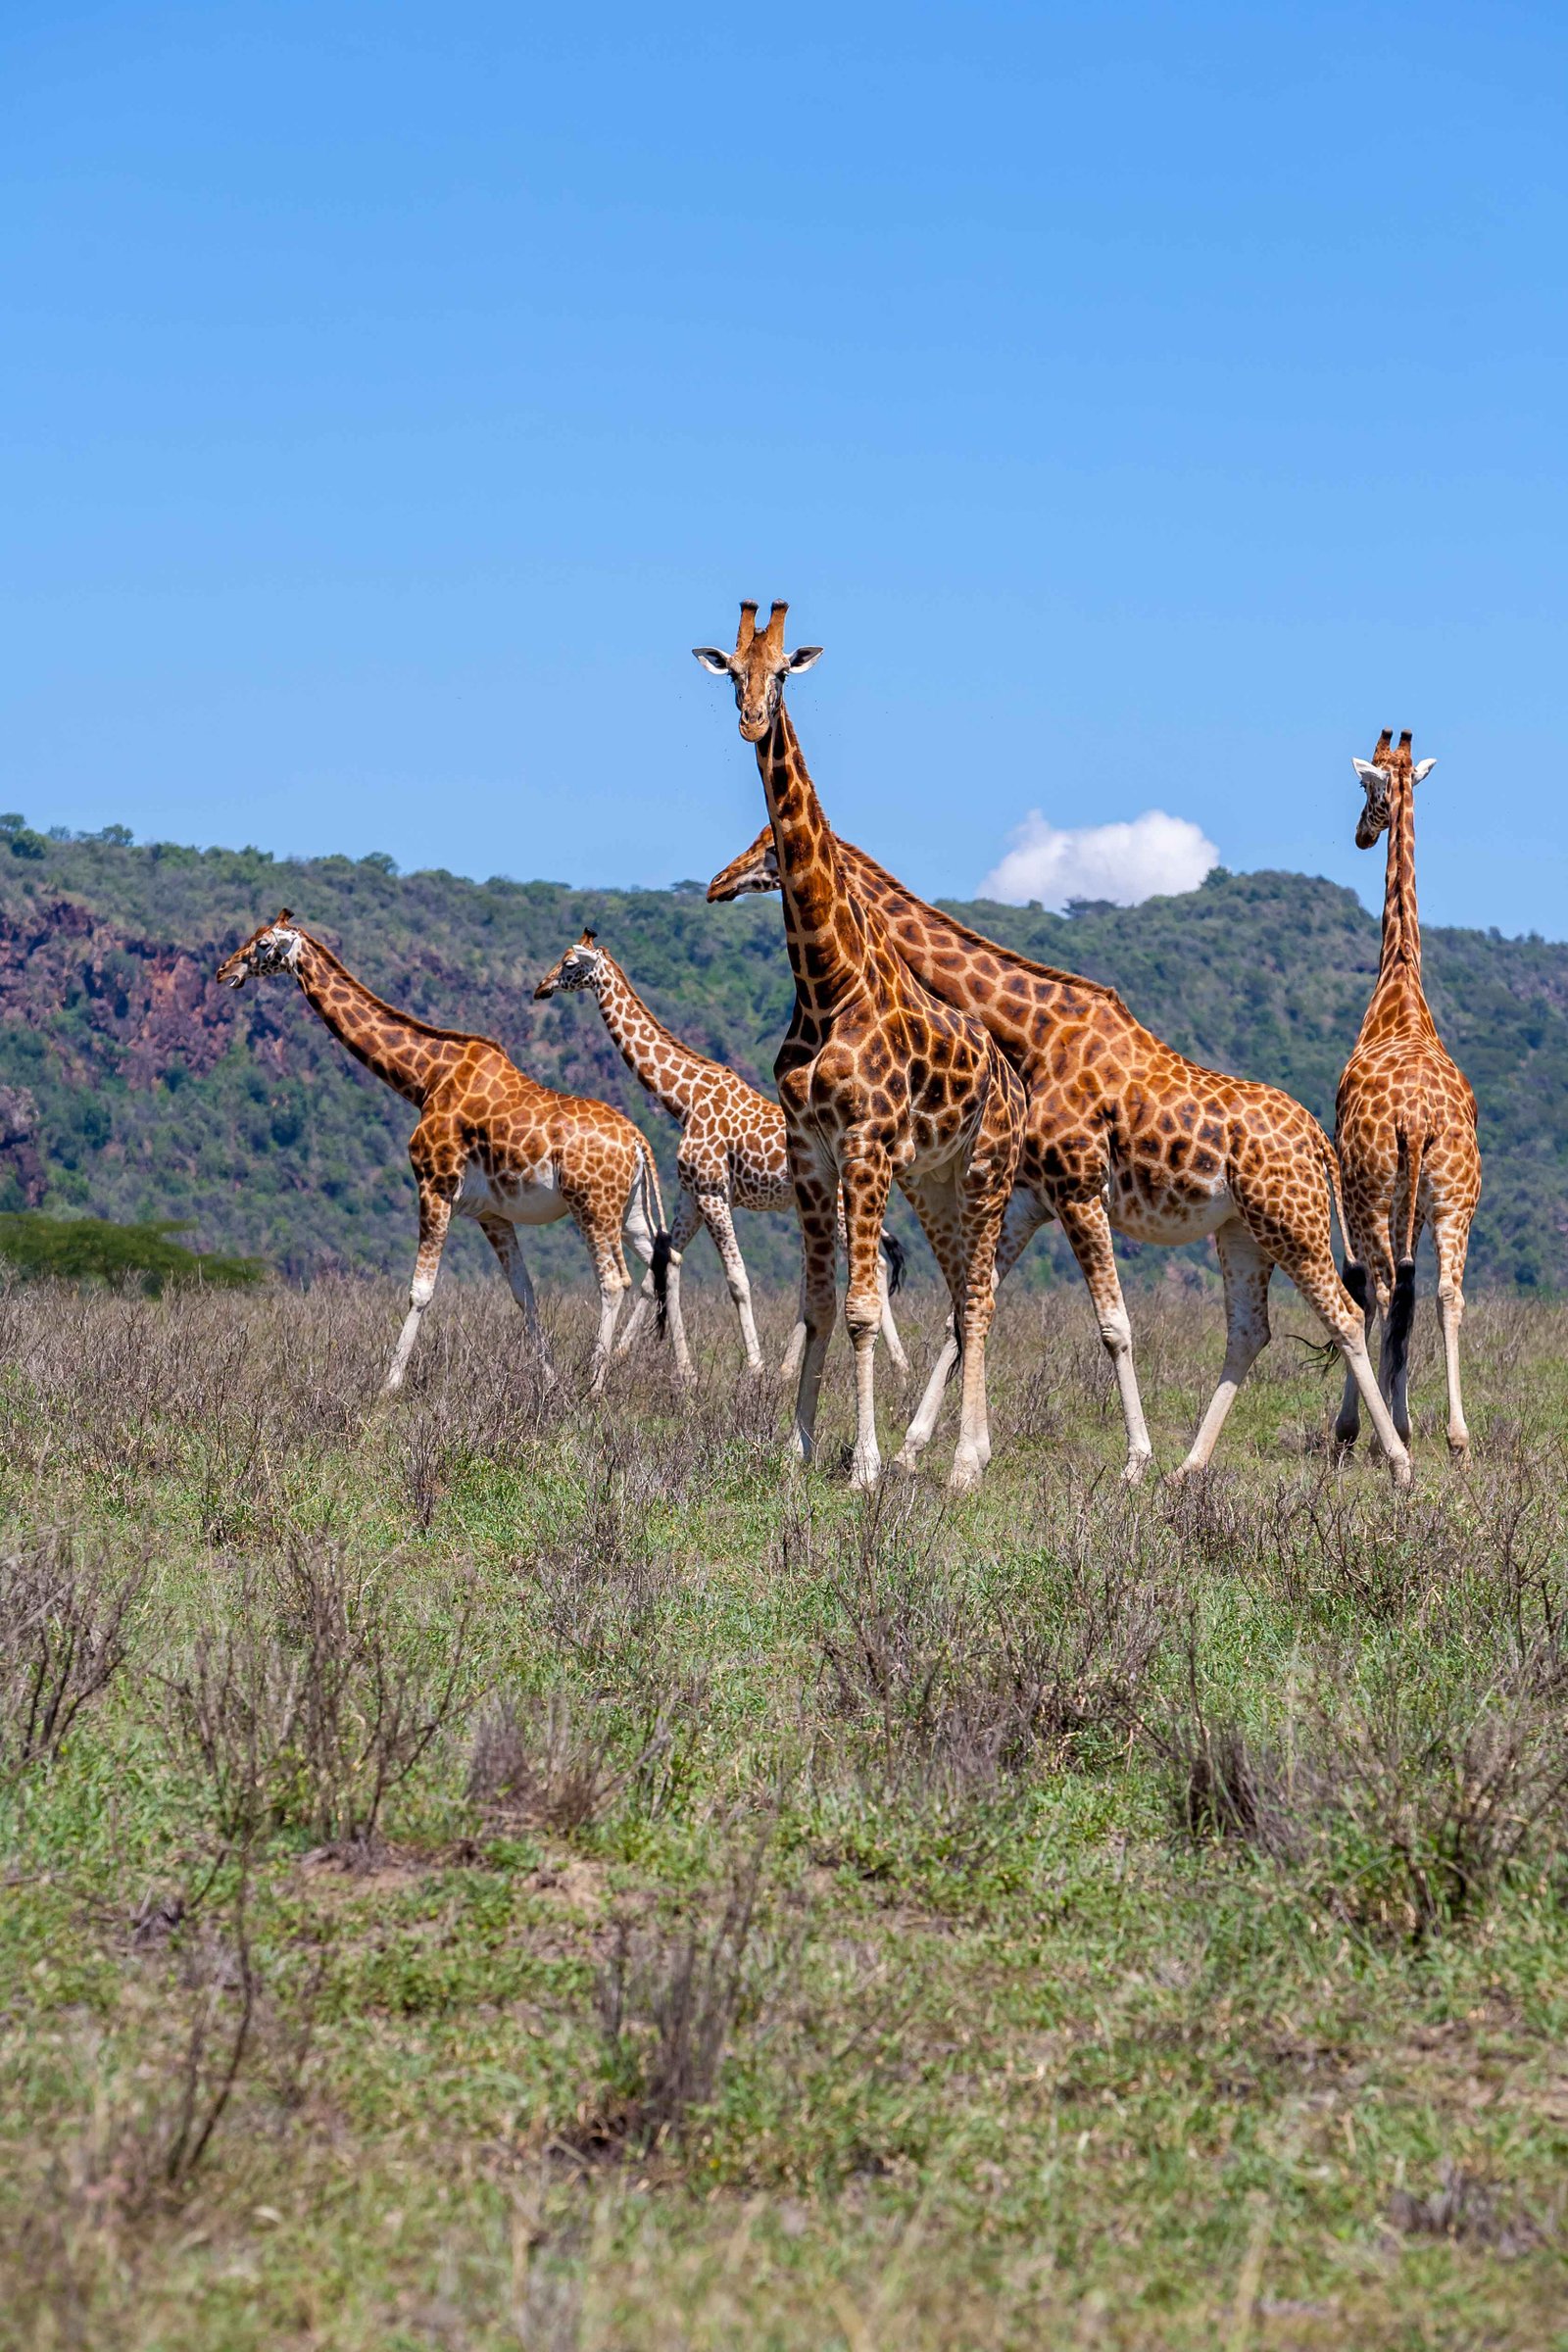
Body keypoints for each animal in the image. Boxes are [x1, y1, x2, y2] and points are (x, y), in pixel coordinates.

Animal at [215, 912, 681, 1392]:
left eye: (264, 945)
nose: (224, 970)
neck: (425, 1078)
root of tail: (639, 1142)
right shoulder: (491, 1213)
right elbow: (524, 1292)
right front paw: (548, 1382)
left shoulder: (434, 1186)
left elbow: (420, 1291)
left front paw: (389, 1385)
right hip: (630, 1210)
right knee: (666, 1260)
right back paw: (680, 1378)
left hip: (592, 1205)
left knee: (614, 1281)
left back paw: (594, 1386)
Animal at [535, 926, 911, 1383]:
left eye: (570, 963)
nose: (540, 988)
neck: (684, 1098)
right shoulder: (692, 1195)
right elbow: (661, 1267)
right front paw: (649, 1360)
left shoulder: (714, 1193)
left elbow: (737, 1279)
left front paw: (753, 1367)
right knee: (822, 1274)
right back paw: (792, 1368)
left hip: (841, 1205)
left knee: (873, 1267)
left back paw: (898, 1365)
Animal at [691, 607, 1024, 1486]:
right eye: (732, 669)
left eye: (783, 672)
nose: (752, 721)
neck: (825, 983)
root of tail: (1015, 1080)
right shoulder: (810, 1147)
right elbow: (815, 1305)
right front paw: (795, 1450)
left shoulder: (865, 1143)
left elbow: (864, 1309)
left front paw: (864, 1466)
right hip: (934, 1182)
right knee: (960, 1294)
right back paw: (960, 1452)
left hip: (987, 1171)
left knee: (981, 1295)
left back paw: (965, 1464)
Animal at [710, 800, 1410, 1486]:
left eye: (768, 844)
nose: (718, 883)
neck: (1031, 1034)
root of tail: (1321, 1144)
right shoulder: (1028, 1202)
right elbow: (962, 1314)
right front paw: (915, 1450)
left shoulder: (1079, 1190)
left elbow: (1113, 1325)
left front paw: (1133, 1460)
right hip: (1242, 1229)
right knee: (1249, 1331)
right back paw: (1190, 1466)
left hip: (1291, 1220)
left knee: (1345, 1314)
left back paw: (1397, 1462)